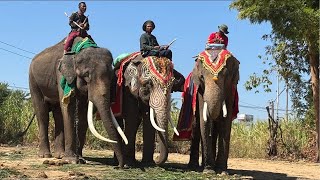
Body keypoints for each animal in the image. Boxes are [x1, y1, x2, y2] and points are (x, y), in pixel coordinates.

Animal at [28, 37, 126, 166]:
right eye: (86, 75)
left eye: (111, 76)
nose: (120, 165)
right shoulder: (61, 74)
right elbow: (68, 106)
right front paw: (72, 160)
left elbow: (83, 113)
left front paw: (80, 159)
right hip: (33, 81)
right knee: (42, 113)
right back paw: (45, 155)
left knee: (58, 114)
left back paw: (59, 155)